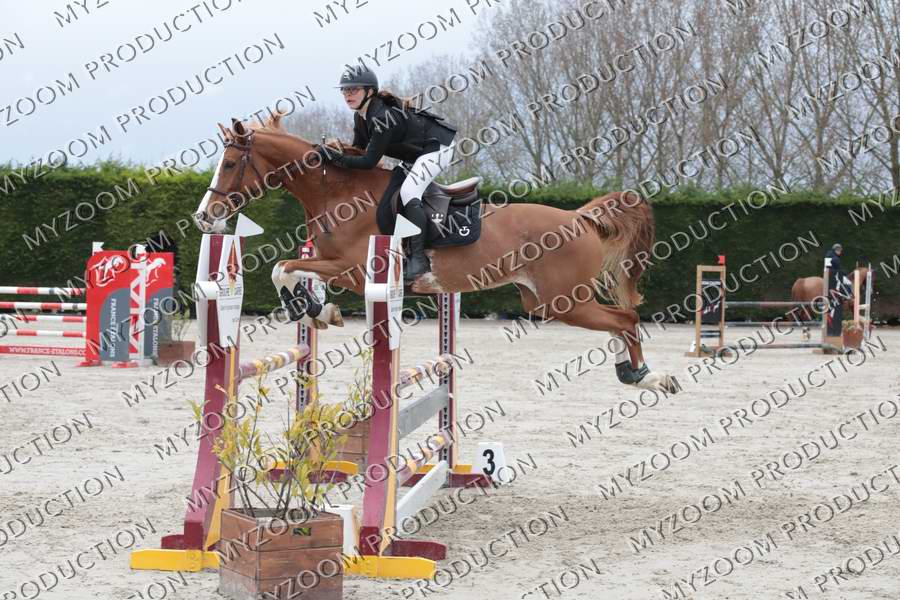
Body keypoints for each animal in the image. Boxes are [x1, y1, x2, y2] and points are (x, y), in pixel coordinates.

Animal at [192, 117, 679, 394]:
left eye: (231, 164)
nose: (203, 216)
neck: (338, 193)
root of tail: (580, 217)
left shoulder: (353, 270)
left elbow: (283, 268)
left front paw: (316, 309)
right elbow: (287, 270)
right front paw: (316, 310)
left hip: (564, 300)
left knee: (625, 318)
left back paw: (646, 375)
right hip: (546, 301)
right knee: (616, 322)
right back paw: (630, 371)